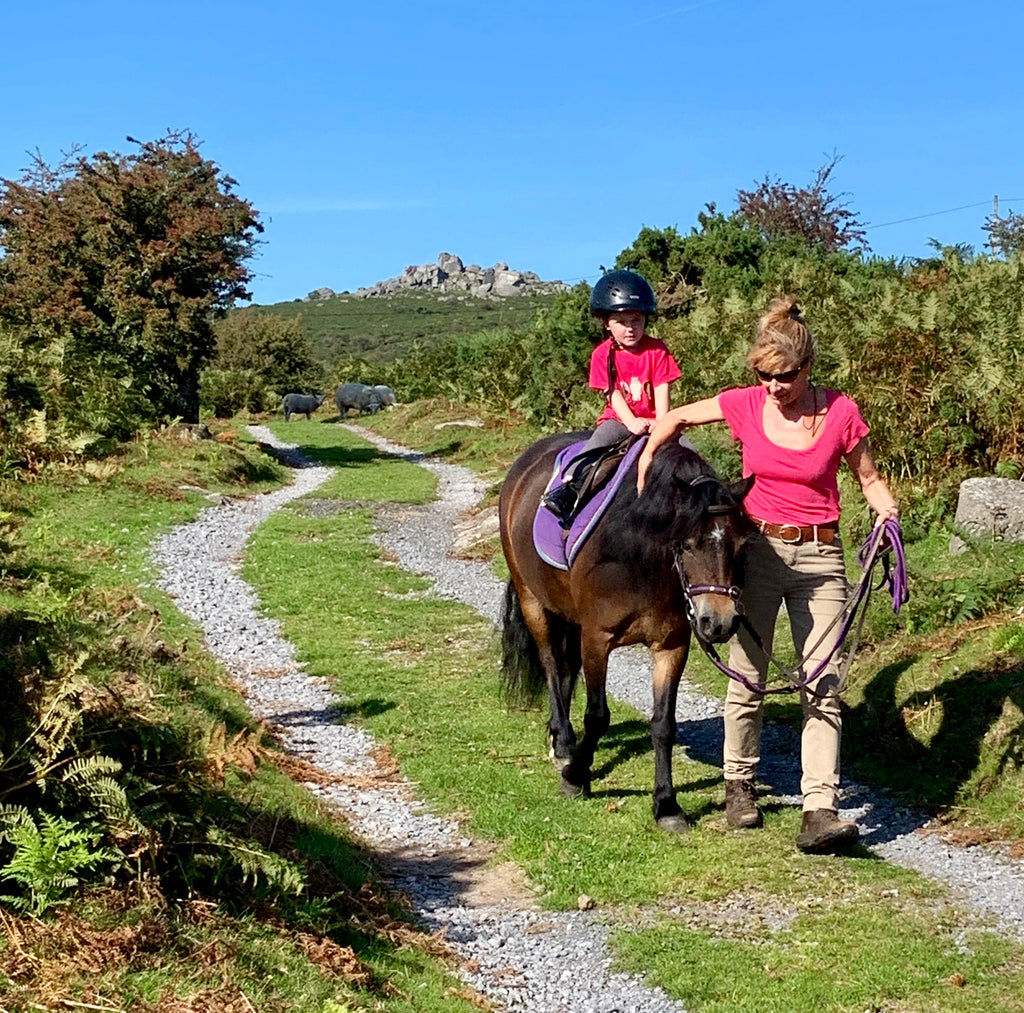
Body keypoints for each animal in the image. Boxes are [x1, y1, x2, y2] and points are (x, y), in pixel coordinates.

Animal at [498, 433, 753, 832]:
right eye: (687, 544)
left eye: (741, 544)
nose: (719, 621)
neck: (641, 556)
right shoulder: (597, 638)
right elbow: (597, 715)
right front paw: (576, 778)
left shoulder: (671, 645)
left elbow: (663, 724)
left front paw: (666, 805)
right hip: (532, 600)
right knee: (552, 665)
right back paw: (564, 744)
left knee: (566, 669)